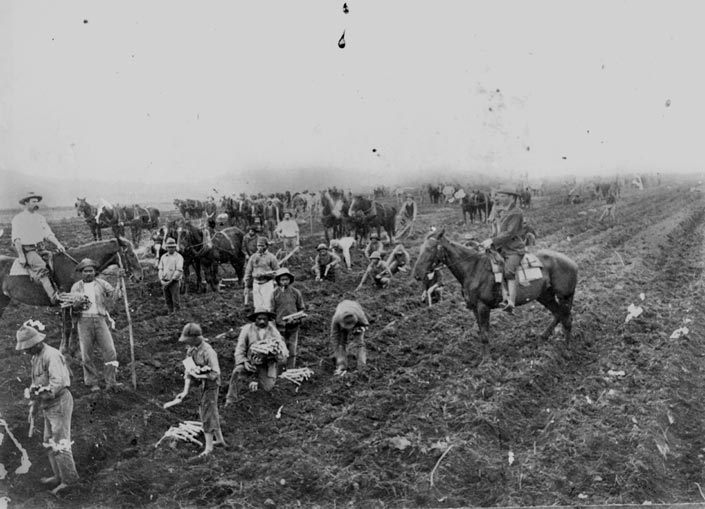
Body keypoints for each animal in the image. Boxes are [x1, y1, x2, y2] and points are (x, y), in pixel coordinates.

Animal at [0, 237, 143, 354]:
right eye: (131, 254)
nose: (139, 277)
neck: (76, 266)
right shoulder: (66, 302)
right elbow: (67, 326)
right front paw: (64, 349)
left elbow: (73, 325)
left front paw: (74, 348)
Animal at [410, 228, 576, 356]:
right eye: (420, 249)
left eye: (431, 248)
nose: (417, 274)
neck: (473, 268)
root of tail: (572, 262)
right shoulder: (474, 308)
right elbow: (481, 332)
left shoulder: (483, 307)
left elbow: (484, 334)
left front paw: (486, 362)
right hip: (545, 295)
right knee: (558, 314)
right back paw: (543, 338)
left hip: (564, 296)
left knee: (567, 319)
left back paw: (567, 350)